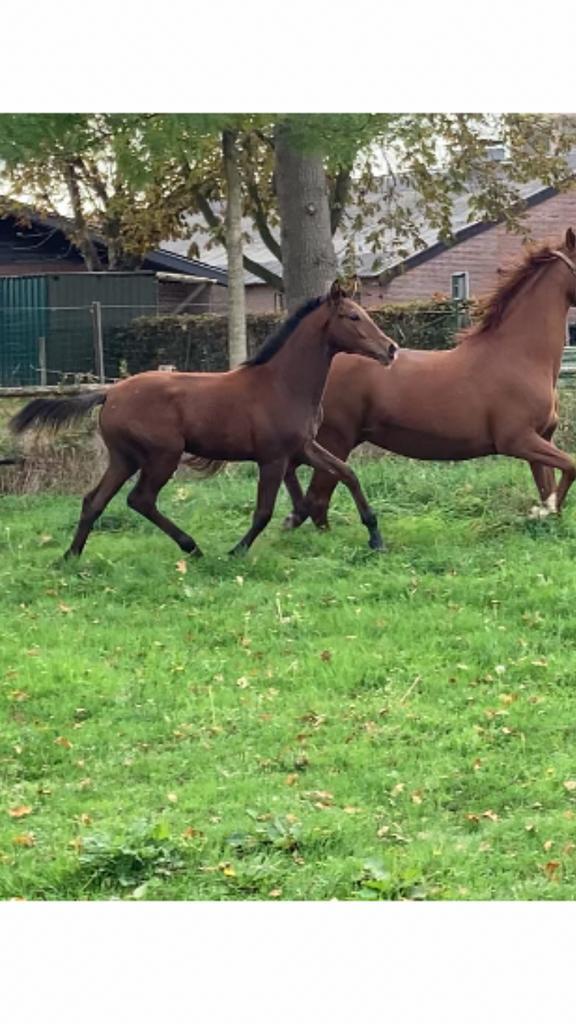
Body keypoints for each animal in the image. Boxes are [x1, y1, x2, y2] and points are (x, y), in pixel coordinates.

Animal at [9, 282, 397, 559]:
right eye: (352, 317)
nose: (390, 349)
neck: (283, 384)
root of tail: (111, 393)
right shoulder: (272, 458)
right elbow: (264, 511)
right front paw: (237, 551)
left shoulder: (302, 447)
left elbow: (347, 473)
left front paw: (376, 536)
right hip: (162, 456)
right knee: (140, 499)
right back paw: (192, 546)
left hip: (124, 458)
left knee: (94, 500)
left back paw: (70, 556)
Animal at [283, 229, 576, 534]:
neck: (520, 356)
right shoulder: (518, 440)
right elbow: (571, 466)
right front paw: (543, 510)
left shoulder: (541, 437)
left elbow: (549, 483)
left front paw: (545, 512)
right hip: (335, 440)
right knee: (317, 500)